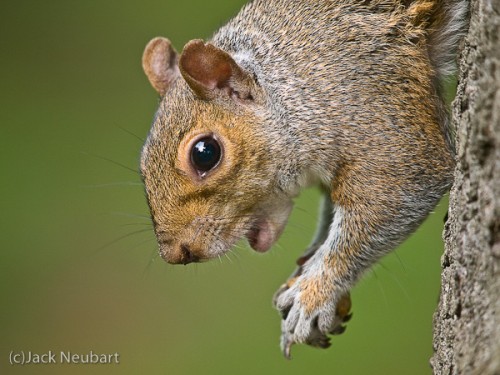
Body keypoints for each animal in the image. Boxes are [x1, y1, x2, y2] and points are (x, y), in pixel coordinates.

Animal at [140, 0, 468, 358]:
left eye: (205, 153)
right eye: (142, 163)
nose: (177, 253)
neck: (295, 87)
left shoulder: (379, 110)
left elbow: (393, 194)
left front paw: (314, 292)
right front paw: (308, 269)